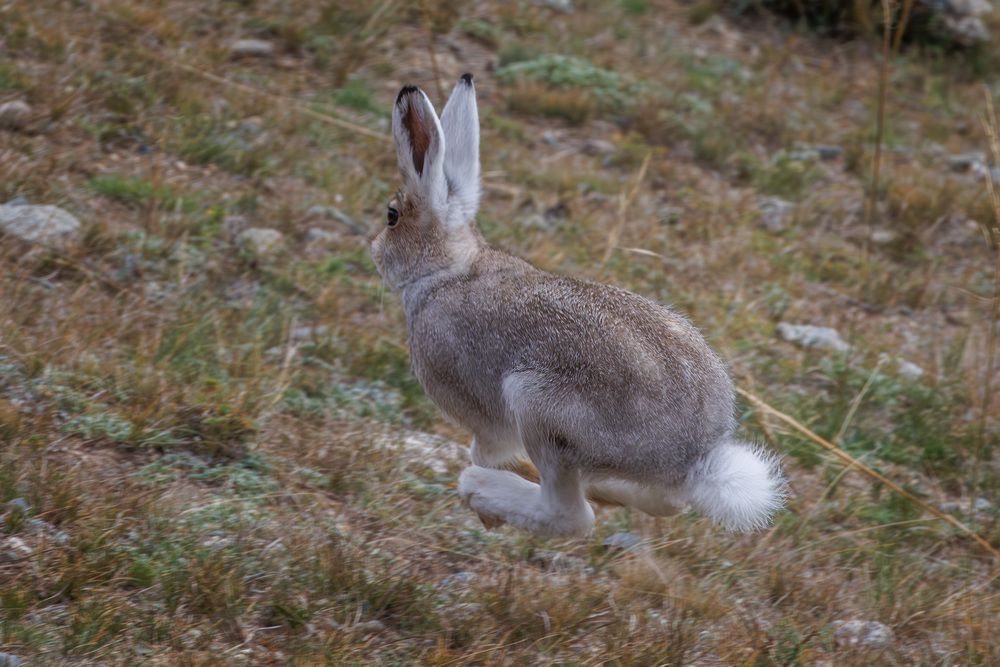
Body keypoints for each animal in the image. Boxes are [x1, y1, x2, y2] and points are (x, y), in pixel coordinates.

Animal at [370, 74, 785, 537]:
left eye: (391, 216)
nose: (374, 251)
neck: (448, 270)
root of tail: (695, 460)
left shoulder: (484, 417)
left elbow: (486, 449)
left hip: (539, 408)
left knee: (570, 516)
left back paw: (482, 491)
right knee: (665, 503)